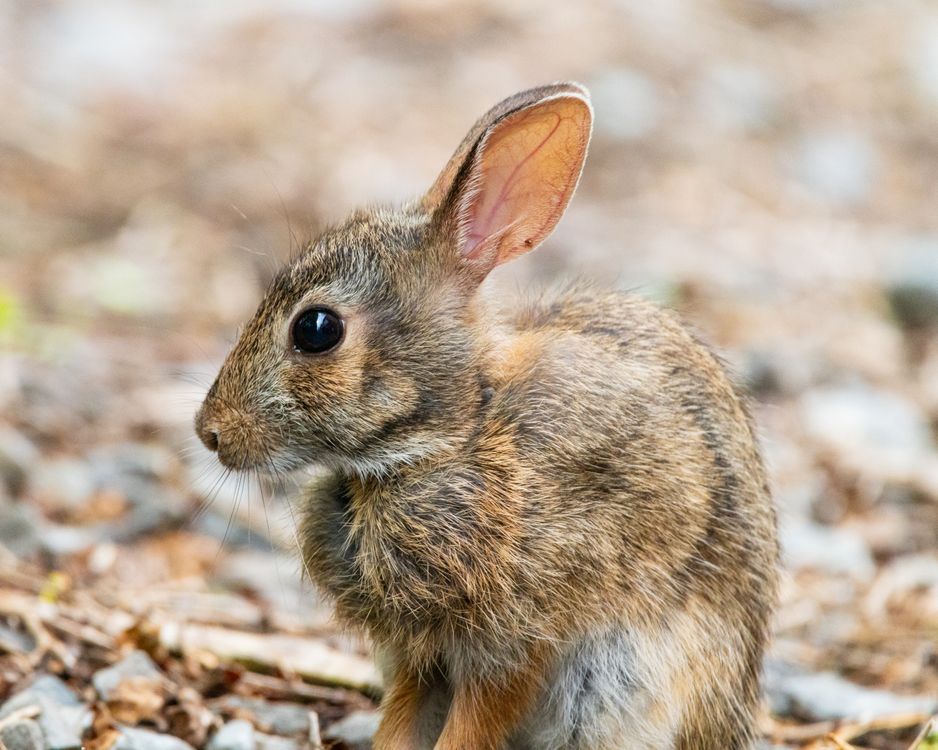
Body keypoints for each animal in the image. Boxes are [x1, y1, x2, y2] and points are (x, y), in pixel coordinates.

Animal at [195, 82, 779, 750]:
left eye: (316, 329)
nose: (210, 432)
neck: (453, 434)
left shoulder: (515, 644)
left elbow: (474, 724)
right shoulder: (420, 658)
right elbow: (402, 722)